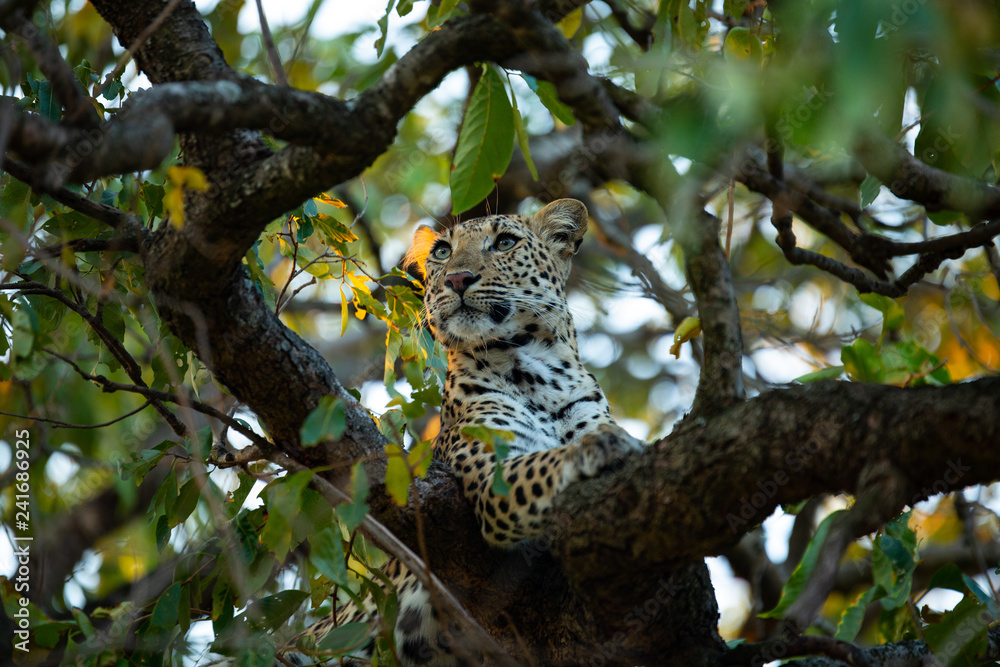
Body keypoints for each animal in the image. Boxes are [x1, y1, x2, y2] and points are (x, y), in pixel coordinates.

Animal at [284, 198, 643, 666]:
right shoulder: (495, 481)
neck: (540, 374)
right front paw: (605, 446)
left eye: (504, 243)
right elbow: (547, 461)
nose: (457, 278)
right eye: (442, 252)